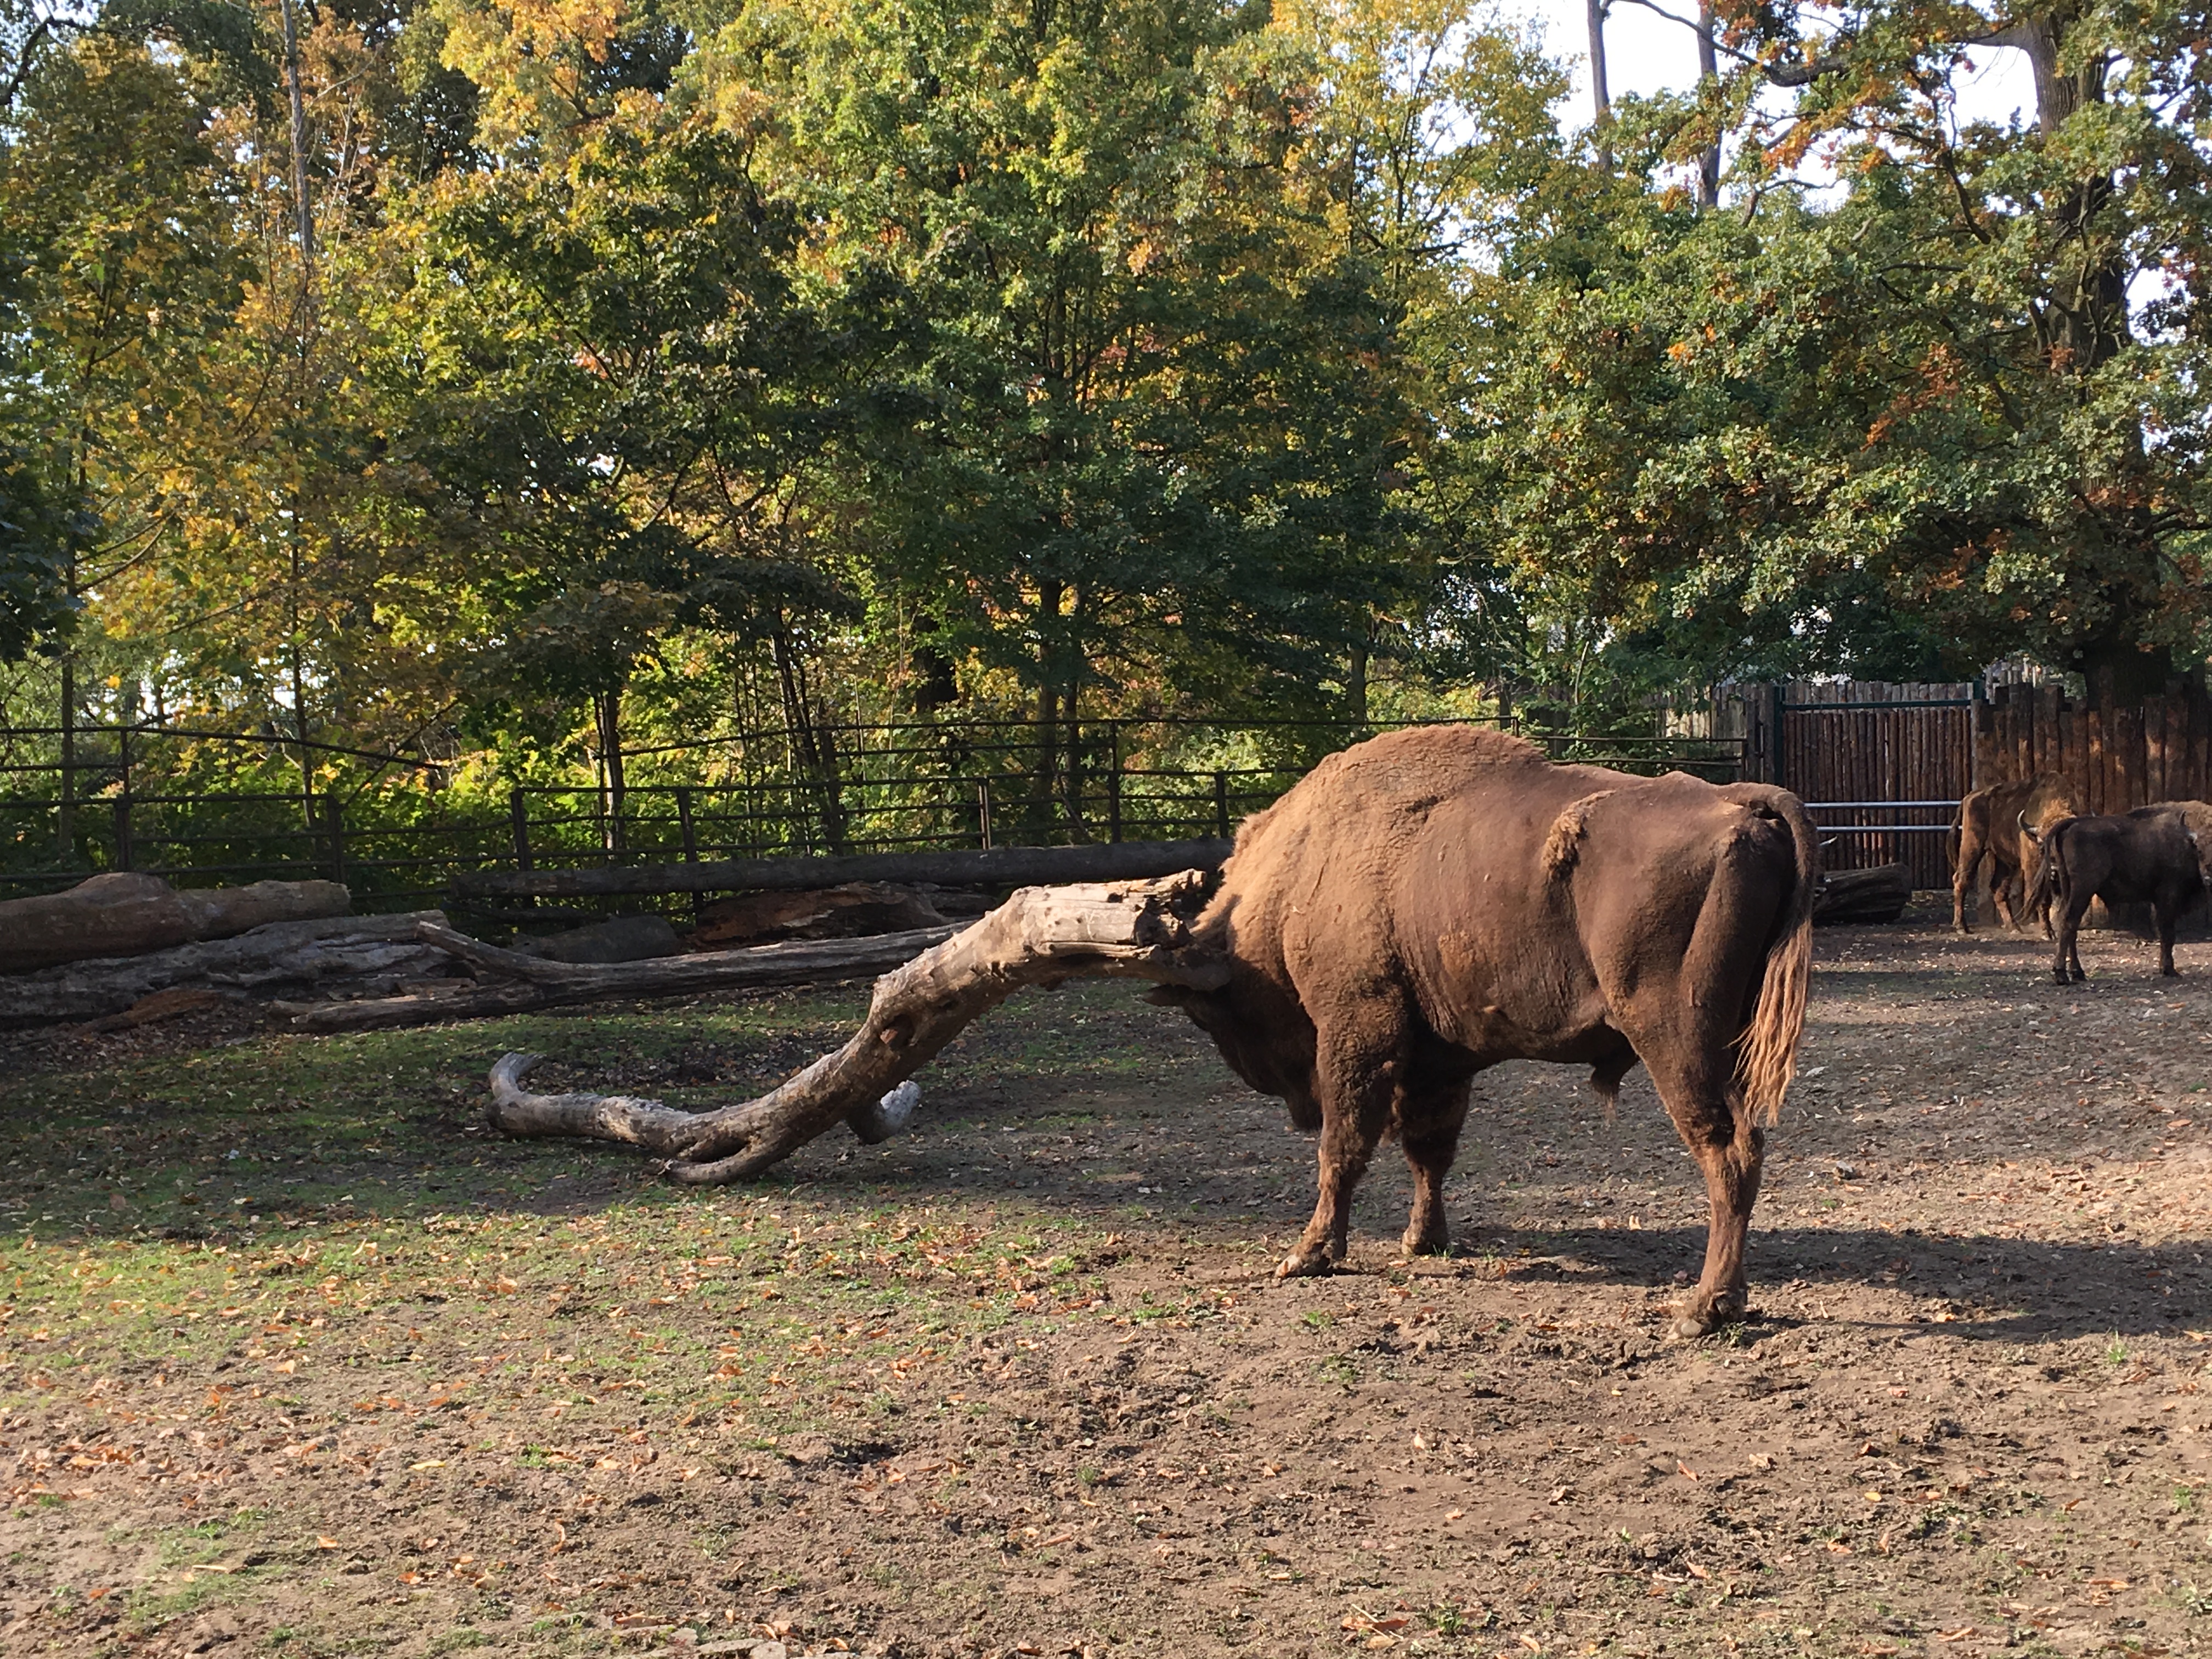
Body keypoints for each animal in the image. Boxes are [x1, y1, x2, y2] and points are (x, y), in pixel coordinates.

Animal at [1159, 734, 1814, 1345]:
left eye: (1212, 1017)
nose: (1293, 1104)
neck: (1299, 873)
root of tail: (1742, 802)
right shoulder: (1439, 1064)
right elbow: (1430, 1152)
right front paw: (1423, 1240)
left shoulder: (1358, 1033)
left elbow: (1343, 1149)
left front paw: (1308, 1255)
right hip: (1730, 1040)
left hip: (1676, 1039)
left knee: (1728, 1152)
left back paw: (1703, 1310)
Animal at [1946, 778, 2079, 938]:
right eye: (2043, 847)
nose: (2055, 868)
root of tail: (1970, 797)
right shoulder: (2033, 867)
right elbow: (2040, 898)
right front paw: (2047, 932)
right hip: (1972, 847)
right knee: (1962, 879)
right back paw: (1961, 926)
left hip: (2005, 861)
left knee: (1998, 887)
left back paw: (2014, 927)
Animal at [2026, 805, 2212, 986]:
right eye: (2199, 850)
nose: (2209, 878)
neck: (2185, 844)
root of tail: (2073, 824)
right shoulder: (2167, 897)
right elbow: (2168, 933)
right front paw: (2169, 970)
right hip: (2083, 890)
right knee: (2069, 922)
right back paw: (2062, 975)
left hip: (2070, 890)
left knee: (2071, 924)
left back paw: (2078, 973)